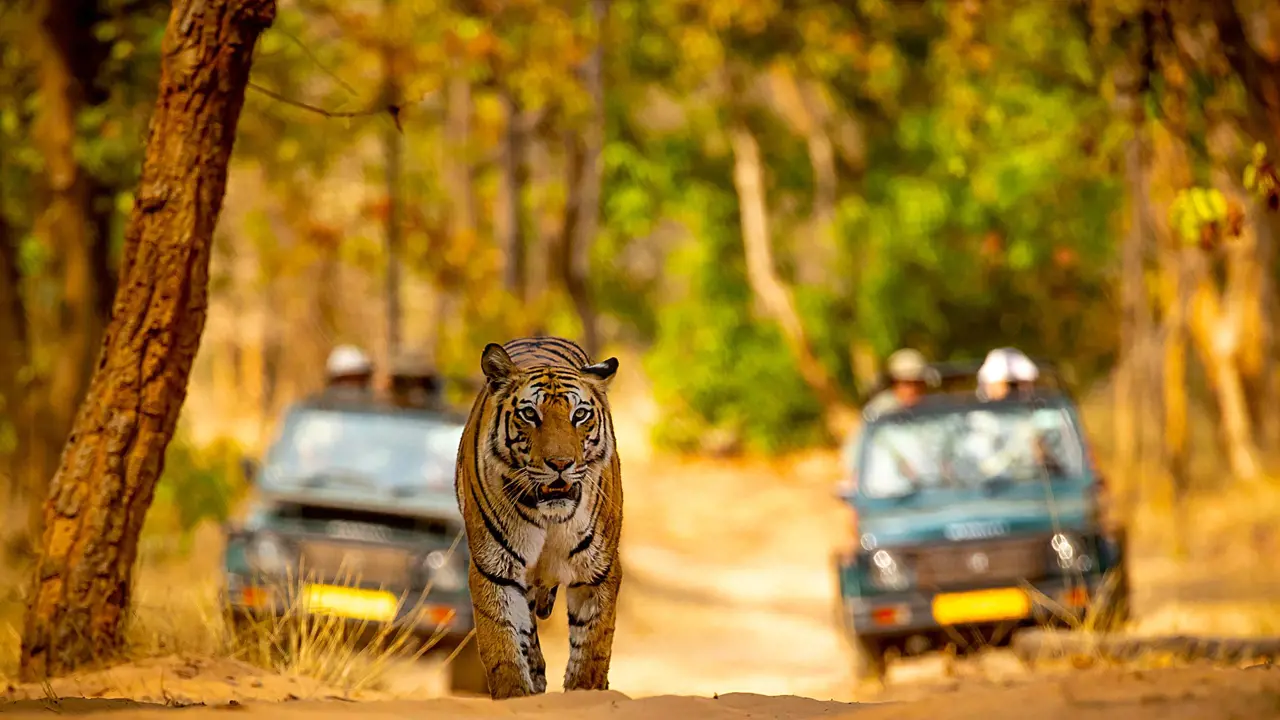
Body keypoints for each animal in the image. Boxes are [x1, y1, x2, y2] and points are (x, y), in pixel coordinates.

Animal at [455, 335, 624, 696]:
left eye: (580, 414)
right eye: (530, 414)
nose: (560, 464)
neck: (550, 518)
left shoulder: (598, 571)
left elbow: (592, 647)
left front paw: (585, 692)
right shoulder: (495, 570)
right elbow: (502, 644)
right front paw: (515, 693)